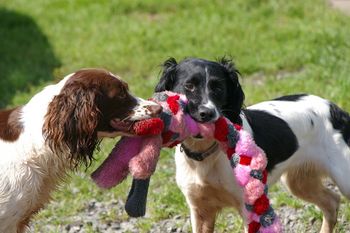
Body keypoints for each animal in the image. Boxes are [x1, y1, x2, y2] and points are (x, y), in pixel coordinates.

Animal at [154, 57, 350, 233]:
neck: (205, 155)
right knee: (332, 201)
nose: (207, 113)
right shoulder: (200, 209)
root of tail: (336, 110)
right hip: (298, 182)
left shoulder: (249, 207)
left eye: (218, 88)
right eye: (189, 86)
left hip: (343, 179)